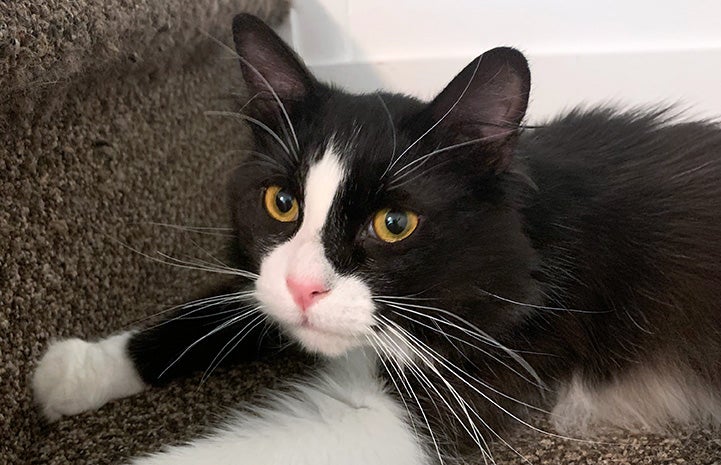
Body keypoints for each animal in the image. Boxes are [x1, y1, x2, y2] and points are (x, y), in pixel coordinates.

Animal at [32, 12, 720, 462]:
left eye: (394, 224)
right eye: (282, 203)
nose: (305, 290)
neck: (529, 234)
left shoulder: (466, 379)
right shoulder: (268, 283)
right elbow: (212, 315)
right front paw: (76, 371)